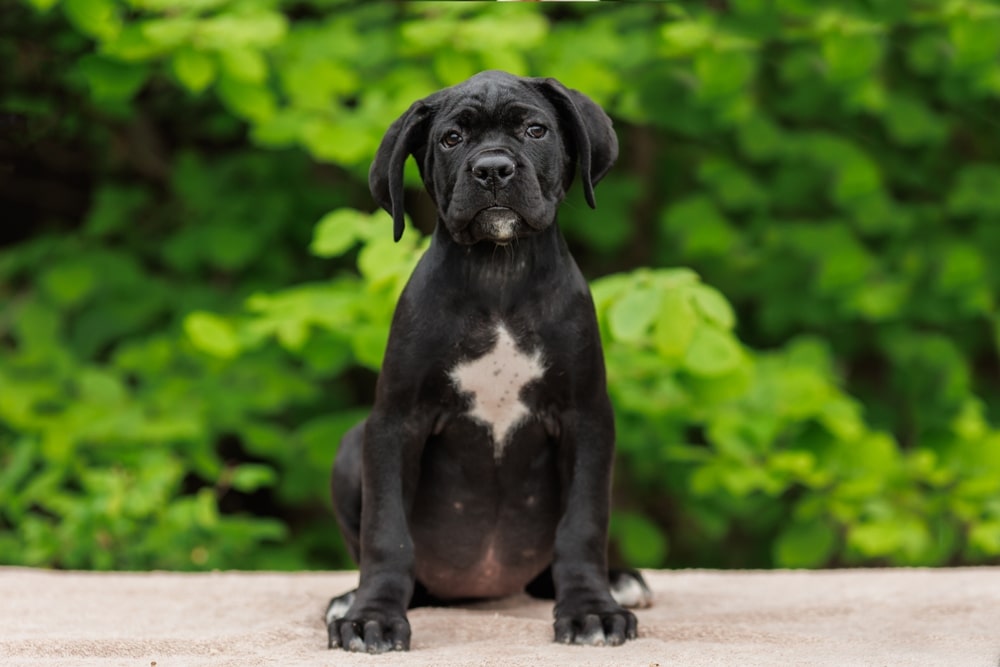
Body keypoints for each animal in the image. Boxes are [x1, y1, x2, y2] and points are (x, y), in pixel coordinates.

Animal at [324, 70, 652, 656]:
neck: (499, 275)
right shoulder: (393, 423)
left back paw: (618, 581)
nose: (493, 169)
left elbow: (583, 524)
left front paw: (591, 609)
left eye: (535, 129)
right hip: (349, 448)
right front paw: (371, 617)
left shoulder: (586, 417)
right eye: (451, 139)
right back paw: (349, 597)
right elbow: (386, 533)